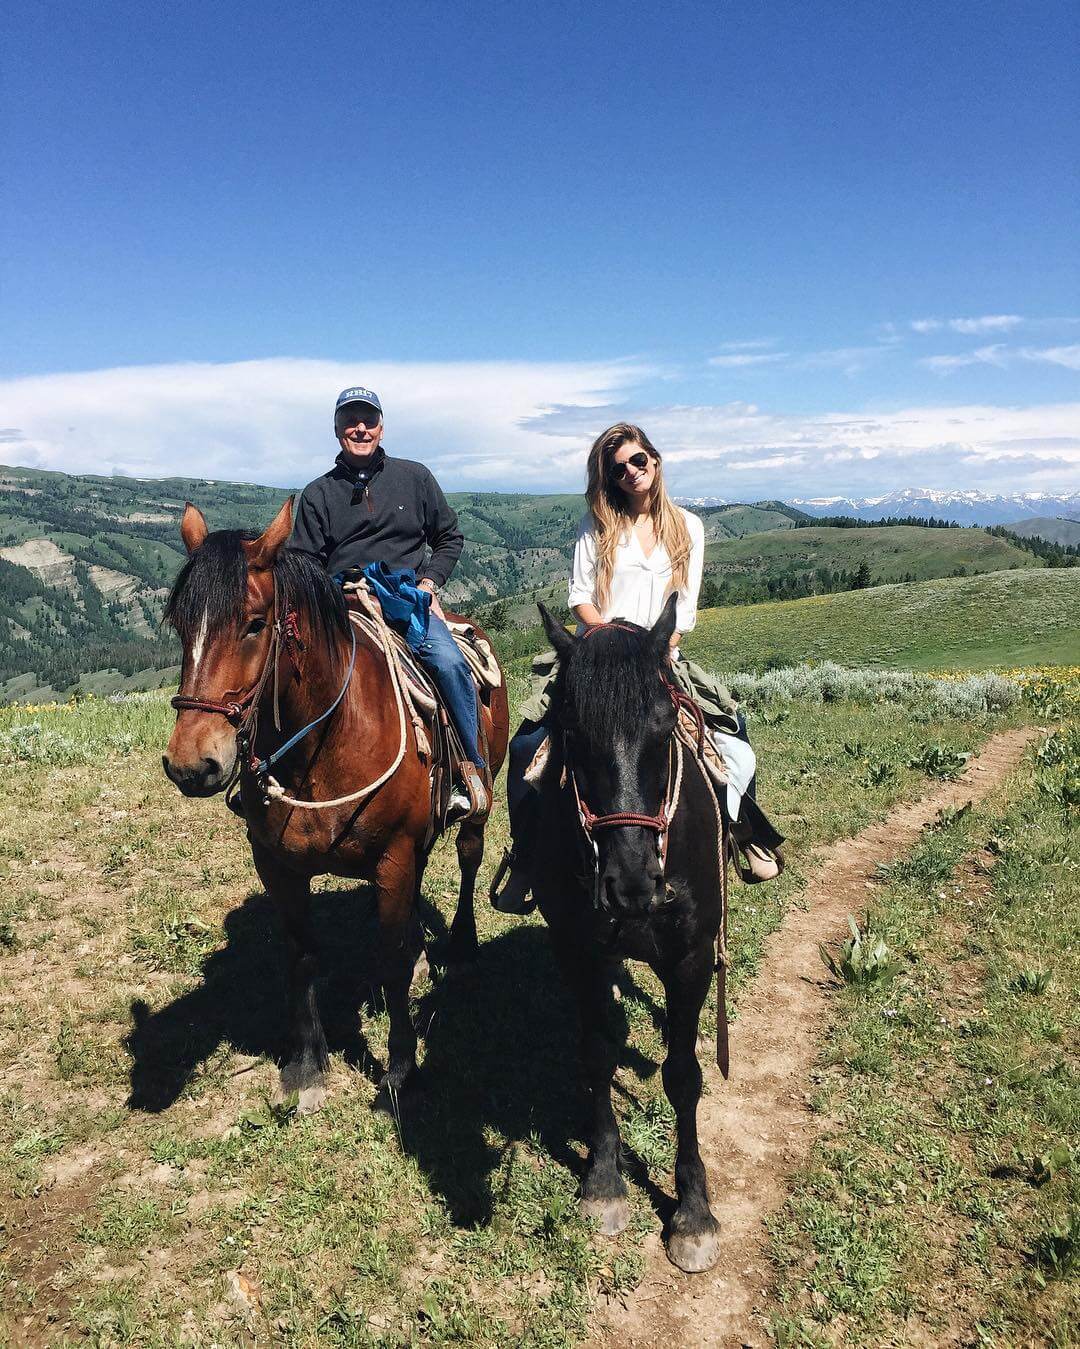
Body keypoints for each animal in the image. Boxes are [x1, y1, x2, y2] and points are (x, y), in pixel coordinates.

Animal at [160, 501, 509, 1111]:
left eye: (255, 624)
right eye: (181, 626)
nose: (191, 765)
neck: (326, 742)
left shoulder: (392, 861)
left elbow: (390, 958)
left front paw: (399, 1068)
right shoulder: (277, 866)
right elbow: (302, 955)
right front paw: (306, 1066)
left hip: (477, 806)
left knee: (469, 860)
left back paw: (461, 944)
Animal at [536, 598, 722, 1273]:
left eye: (665, 729)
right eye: (571, 732)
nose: (633, 883)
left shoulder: (691, 958)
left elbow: (683, 1075)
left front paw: (692, 1212)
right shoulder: (578, 952)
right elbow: (595, 1052)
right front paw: (604, 1181)